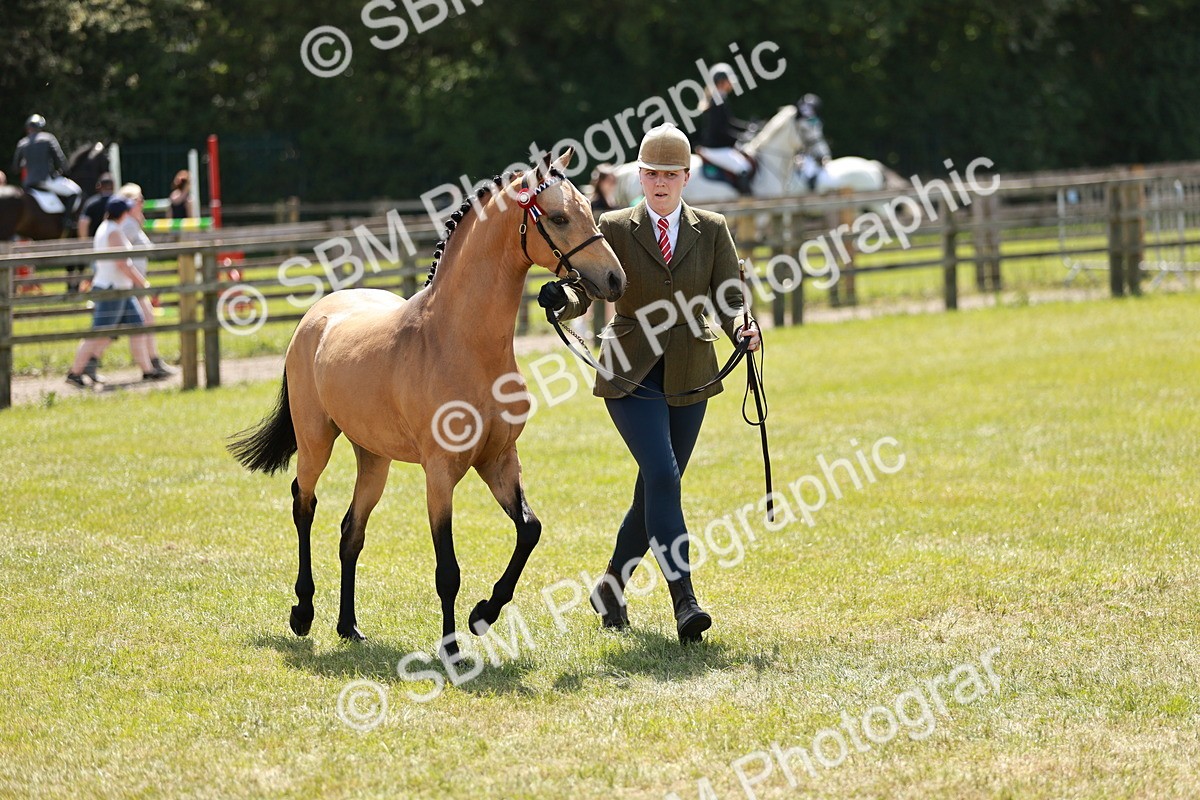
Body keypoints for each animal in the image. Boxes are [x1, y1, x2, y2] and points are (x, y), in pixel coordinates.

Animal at [0, 142, 109, 292]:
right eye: (107, 160)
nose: (110, 179)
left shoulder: (68, 239)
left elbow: (71, 264)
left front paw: (71, 287)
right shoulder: (76, 236)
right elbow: (76, 264)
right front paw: (73, 287)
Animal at [227, 150, 625, 664]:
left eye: (590, 210)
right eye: (558, 217)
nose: (615, 279)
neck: (459, 341)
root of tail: (315, 317)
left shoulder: (499, 461)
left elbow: (529, 530)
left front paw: (484, 613)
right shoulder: (440, 475)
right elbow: (447, 570)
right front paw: (452, 648)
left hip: (373, 458)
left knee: (351, 532)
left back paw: (349, 626)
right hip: (316, 440)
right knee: (304, 503)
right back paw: (303, 612)